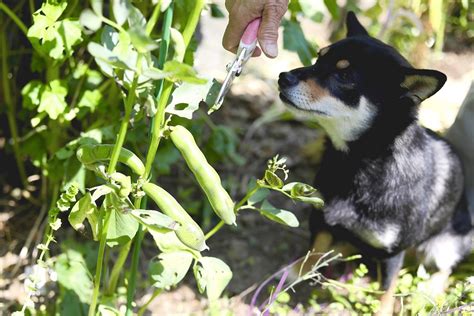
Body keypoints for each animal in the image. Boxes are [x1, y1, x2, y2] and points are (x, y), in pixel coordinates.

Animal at [280, 11, 472, 314]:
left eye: (344, 75)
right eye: (318, 57)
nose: (283, 77)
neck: (356, 163)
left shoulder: (392, 253)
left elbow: (386, 290)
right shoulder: (322, 219)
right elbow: (316, 249)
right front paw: (299, 271)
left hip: (445, 245)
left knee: (444, 269)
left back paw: (429, 292)